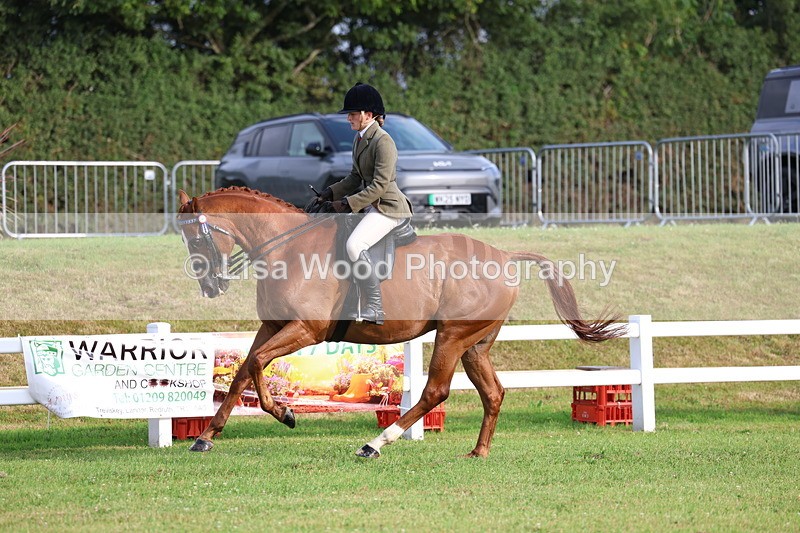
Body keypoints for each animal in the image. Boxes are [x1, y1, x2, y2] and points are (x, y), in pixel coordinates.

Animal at [176, 186, 624, 458]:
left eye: (196, 238)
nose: (210, 287)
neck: (286, 248)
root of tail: (504, 256)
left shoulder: (305, 330)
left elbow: (255, 364)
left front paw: (284, 413)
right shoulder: (272, 326)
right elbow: (242, 372)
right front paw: (206, 436)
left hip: (452, 336)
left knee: (435, 391)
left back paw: (376, 443)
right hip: (474, 344)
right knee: (493, 393)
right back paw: (478, 451)